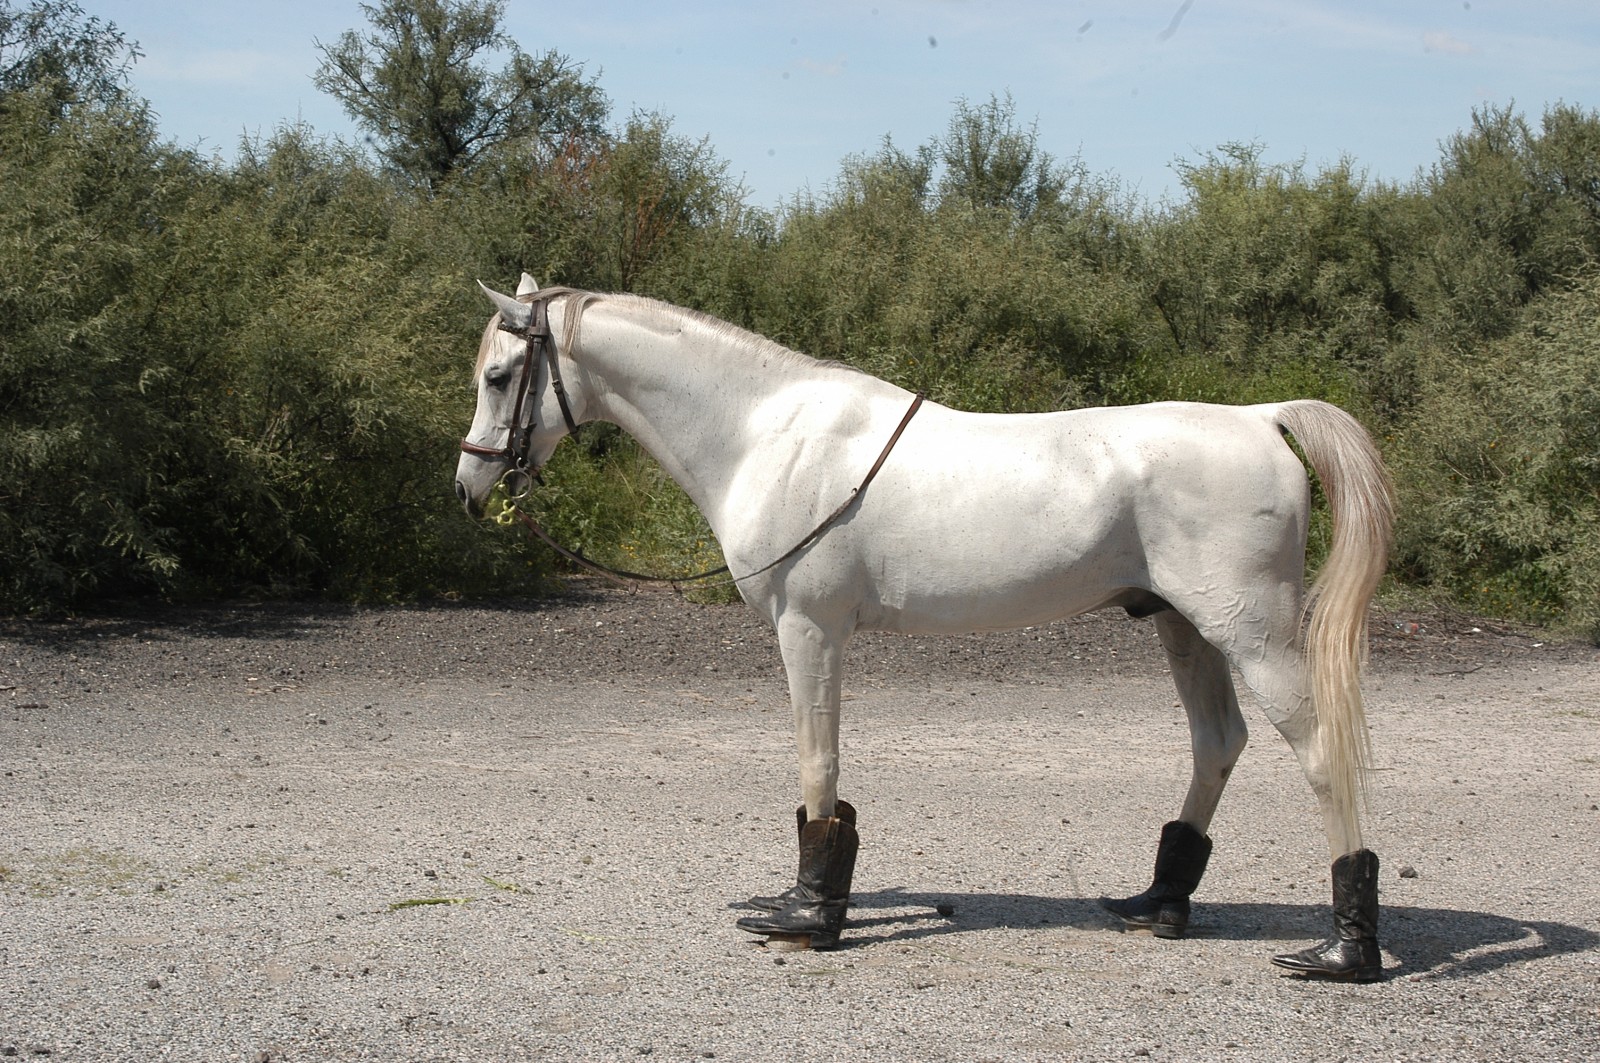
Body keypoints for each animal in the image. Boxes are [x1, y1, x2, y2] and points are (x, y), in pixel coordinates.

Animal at [457, 275, 1395, 979]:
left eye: (500, 376)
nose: (468, 488)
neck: (765, 432)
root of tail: (1261, 416)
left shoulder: (811, 629)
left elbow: (818, 760)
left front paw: (807, 915)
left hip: (1252, 634)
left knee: (1320, 752)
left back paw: (1343, 951)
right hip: (1185, 627)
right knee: (1217, 742)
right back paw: (1158, 904)